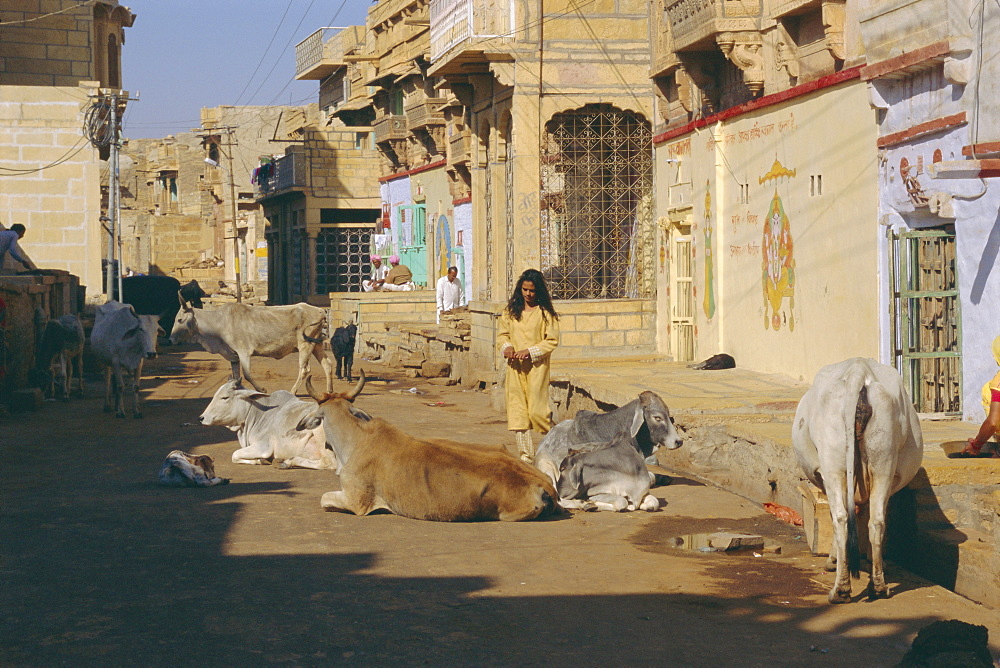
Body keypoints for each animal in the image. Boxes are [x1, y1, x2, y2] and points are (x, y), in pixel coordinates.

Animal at [201, 380, 338, 470]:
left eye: (225, 397)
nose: (201, 418)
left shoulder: (263, 447)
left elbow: (234, 455)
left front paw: (261, 460)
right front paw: (262, 461)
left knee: (328, 463)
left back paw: (288, 462)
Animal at [792, 358, 924, 604]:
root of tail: (858, 371)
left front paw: (834, 560)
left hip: (833, 463)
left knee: (841, 519)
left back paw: (840, 589)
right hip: (883, 460)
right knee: (877, 521)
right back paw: (878, 586)